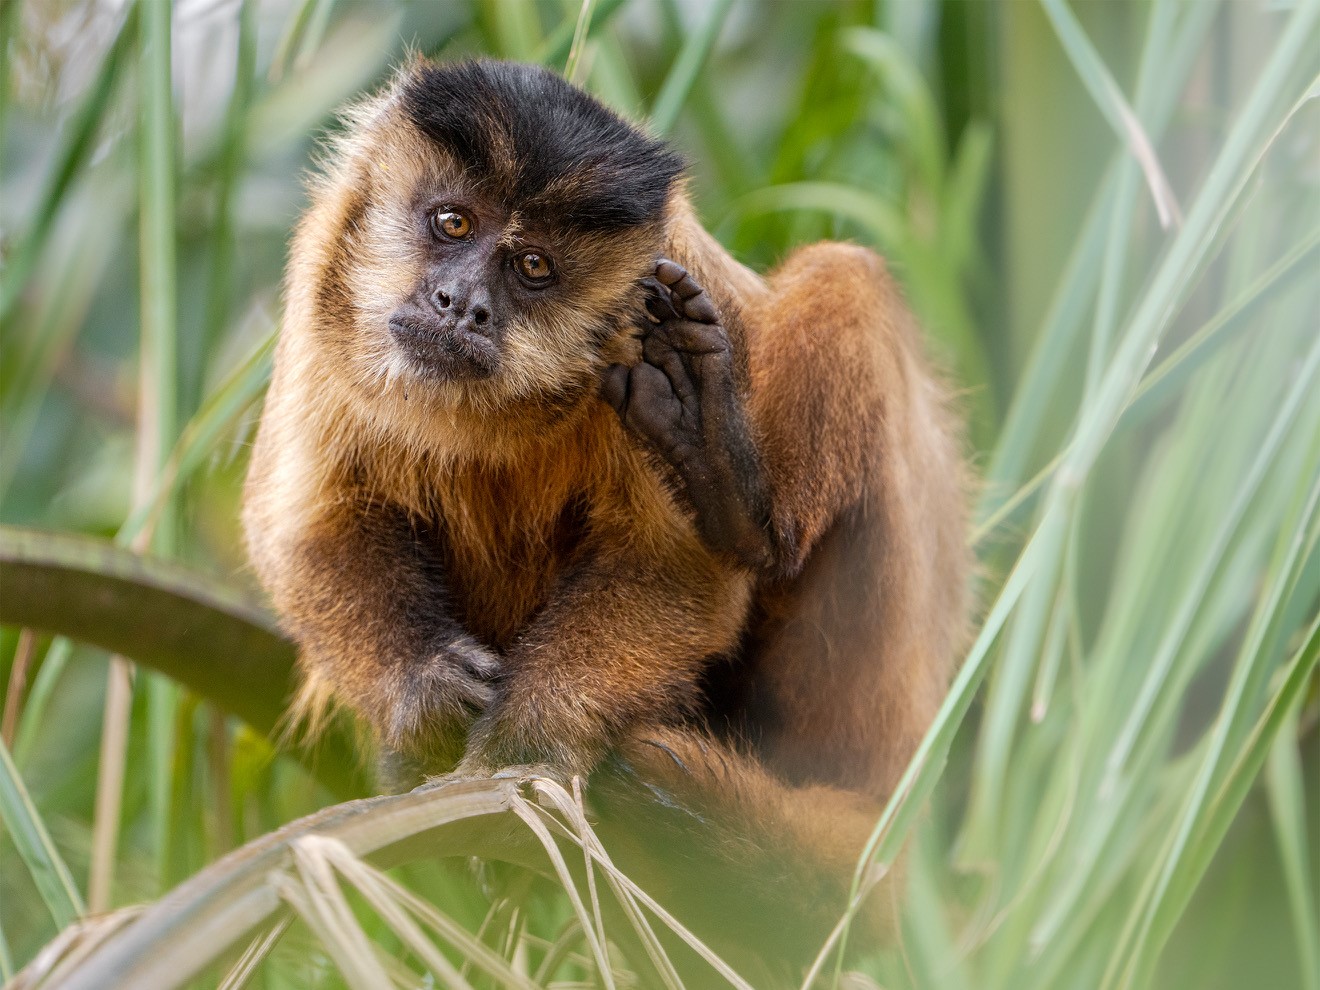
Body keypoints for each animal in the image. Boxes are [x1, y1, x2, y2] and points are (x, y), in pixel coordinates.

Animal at [242, 58, 969, 975]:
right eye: (451, 223)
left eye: (533, 267)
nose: (459, 303)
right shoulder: (318, 282)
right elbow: (306, 530)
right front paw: (425, 694)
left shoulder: (653, 295)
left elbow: (672, 569)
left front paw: (529, 739)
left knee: (852, 279)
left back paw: (733, 489)